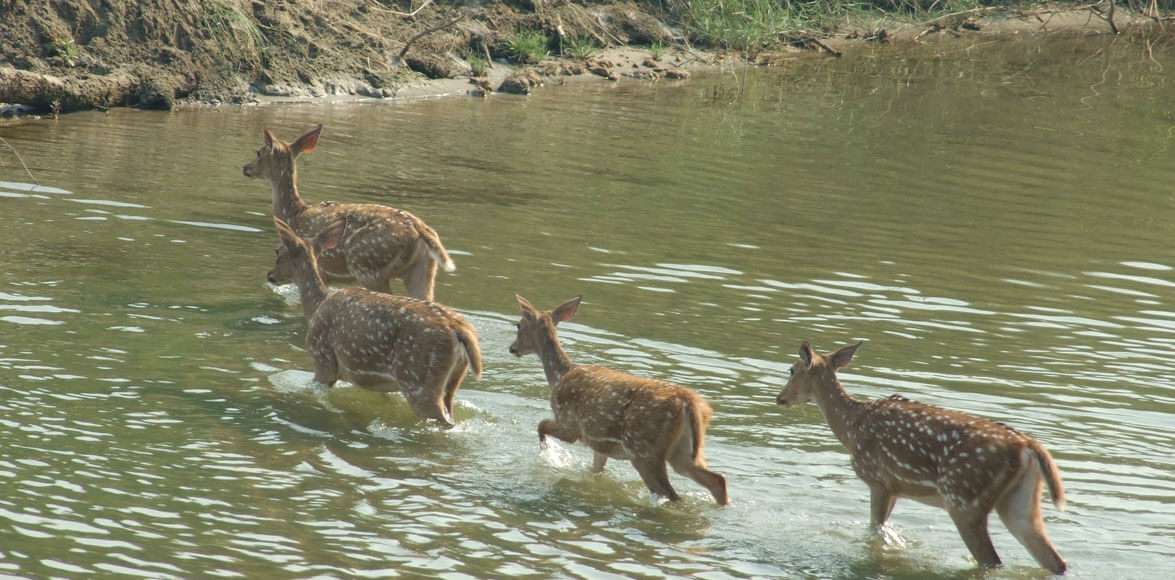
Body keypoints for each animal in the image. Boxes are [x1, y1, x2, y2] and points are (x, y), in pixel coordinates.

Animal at [243, 125, 453, 300]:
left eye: (259, 152)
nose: (246, 168)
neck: (293, 214)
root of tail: (420, 229)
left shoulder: (318, 266)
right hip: (423, 270)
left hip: (367, 266)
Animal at [270, 217, 481, 425]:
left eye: (279, 252)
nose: (270, 275)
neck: (316, 306)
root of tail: (459, 330)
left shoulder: (323, 358)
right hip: (451, 382)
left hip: (418, 379)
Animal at [509, 297, 728, 504]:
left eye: (519, 325)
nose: (513, 348)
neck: (559, 376)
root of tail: (689, 402)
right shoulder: (598, 444)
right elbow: (595, 471)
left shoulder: (570, 424)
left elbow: (541, 426)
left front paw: (548, 453)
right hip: (683, 452)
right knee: (716, 480)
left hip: (644, 449)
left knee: (670, 493)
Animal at [775, 342, 1071, 572]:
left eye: (791, 369)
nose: (780, 398)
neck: (851, 427)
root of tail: (1026, 445)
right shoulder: (897, 488)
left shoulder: (878, 480)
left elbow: (875, 530)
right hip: (1020, 503)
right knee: (1054, 561)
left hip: (964, 499)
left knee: (992, 560)